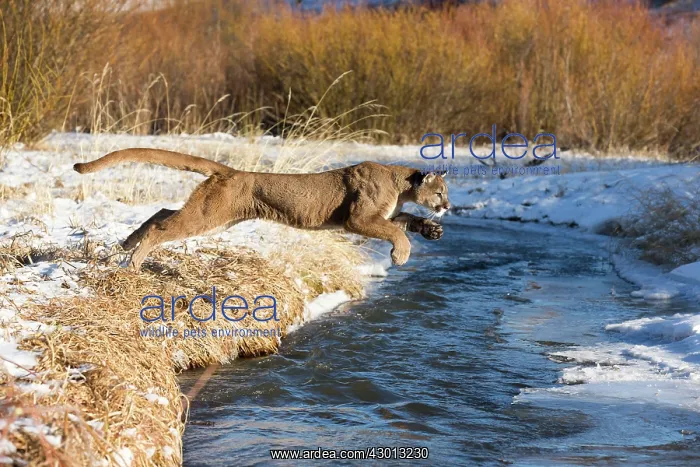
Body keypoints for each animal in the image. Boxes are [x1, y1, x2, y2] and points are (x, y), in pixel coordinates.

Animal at [74, 149, 451, 270]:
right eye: (441, 191)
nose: (448, 206)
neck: (400, 185)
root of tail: (231, 171)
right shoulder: (358, 218)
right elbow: (393, 231)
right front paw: (401, 255)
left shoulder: (382, 214)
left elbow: (404, 220)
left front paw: (431, 229)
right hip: (210, 216)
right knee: (162, 226)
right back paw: (134, 262)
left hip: (214, 217)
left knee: (162, 212)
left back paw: (125, 244)